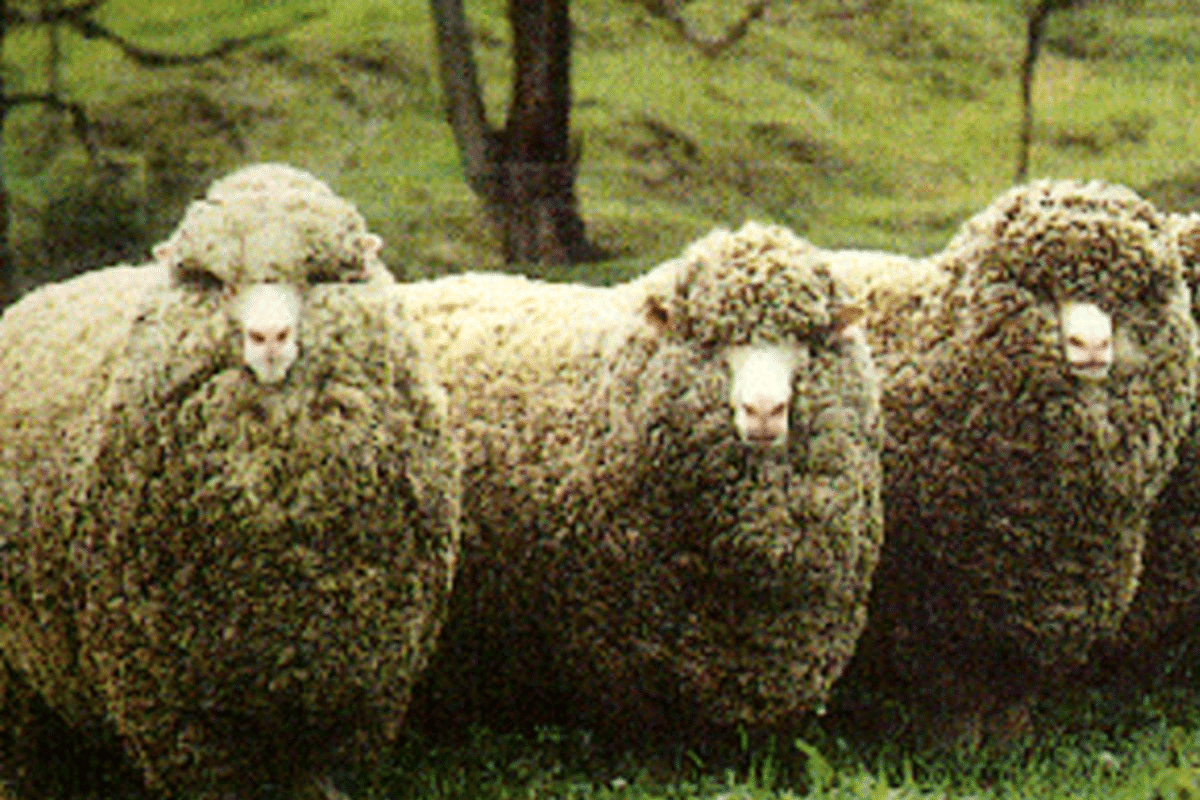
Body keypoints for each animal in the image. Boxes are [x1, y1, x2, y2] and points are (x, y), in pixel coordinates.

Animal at [0, 167, 463, 799]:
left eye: (323, 275)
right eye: (210, 279)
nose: (270, 338)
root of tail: (38, 293)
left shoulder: (353, 695)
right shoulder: (173, 709)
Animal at [828, 179, 1198, 749]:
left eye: (1125, 297)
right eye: (1043, 288)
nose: (1092, 344)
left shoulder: (1036, 608)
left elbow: (1012, 701)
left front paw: (1010, 749)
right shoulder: (935, 611)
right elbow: (954, 702)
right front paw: (956, 754)